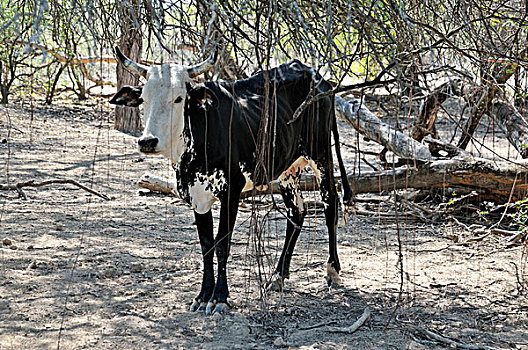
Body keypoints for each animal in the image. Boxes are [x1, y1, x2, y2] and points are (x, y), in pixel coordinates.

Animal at [109, 47, 352, 316]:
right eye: (144, 99)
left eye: (179, 98)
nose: (147, 142)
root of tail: (315, 76)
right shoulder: (198, 196)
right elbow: (207, 245)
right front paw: (203, 296)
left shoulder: (231, 193)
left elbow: (222, 244)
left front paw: (220, 298)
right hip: (288, 168)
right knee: (297, 212)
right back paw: (278, 276)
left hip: (320, 153)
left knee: (331, 204)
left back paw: (331, 271)